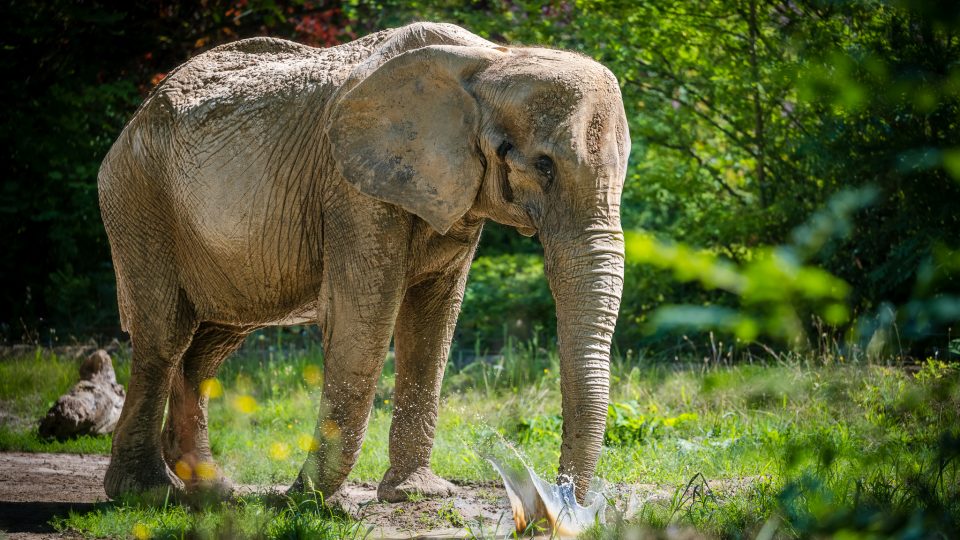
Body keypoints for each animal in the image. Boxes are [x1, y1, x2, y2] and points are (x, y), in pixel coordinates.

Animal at [99, 21, 632, 502]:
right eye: (542, 165)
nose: (562, 500)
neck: (490, 60)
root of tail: (134, 120)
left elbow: (432, 322)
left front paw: (414, 494)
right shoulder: (351, 189)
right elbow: (364, 319)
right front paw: (309, 502)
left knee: (212, 343)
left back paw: (212, 492)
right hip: (139, 200)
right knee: (165, 336)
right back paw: (147, 493)